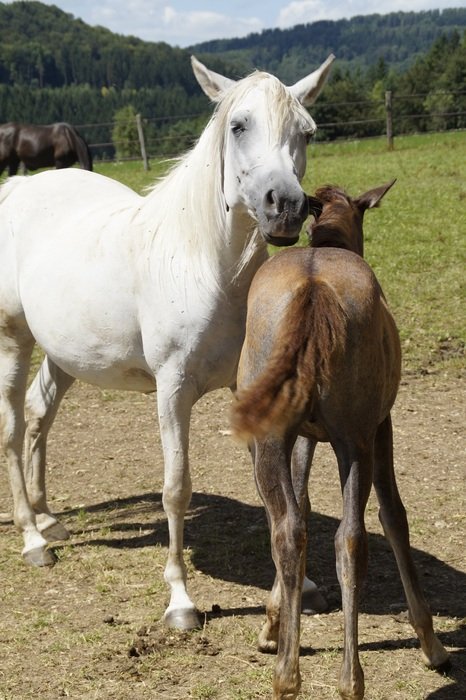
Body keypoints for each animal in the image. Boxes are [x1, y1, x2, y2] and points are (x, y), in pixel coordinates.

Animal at [1, 54, 334, 632]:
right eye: (238, 125)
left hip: (65, 353)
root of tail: (20, 189)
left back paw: (48, 518)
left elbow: (271, 486)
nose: (287, 208)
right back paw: (32, 539)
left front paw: (302, 585)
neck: (201, 264)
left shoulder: (247, 388)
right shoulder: (172, 390)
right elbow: (176, 488)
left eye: (307, 132)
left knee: (41, 413)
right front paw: (180, 601)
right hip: (15, 340)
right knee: (15, 429)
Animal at [231, 182, 450, 700]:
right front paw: (432, 644)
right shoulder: (382, 424)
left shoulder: (303, 436)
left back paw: (287, 676)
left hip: (270, 438)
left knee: (288, 529)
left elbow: (302, 505)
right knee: (352, 537)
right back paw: (351, 678)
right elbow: (394, 516)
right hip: (357, 437)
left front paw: (272, 629)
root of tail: (314, 290)